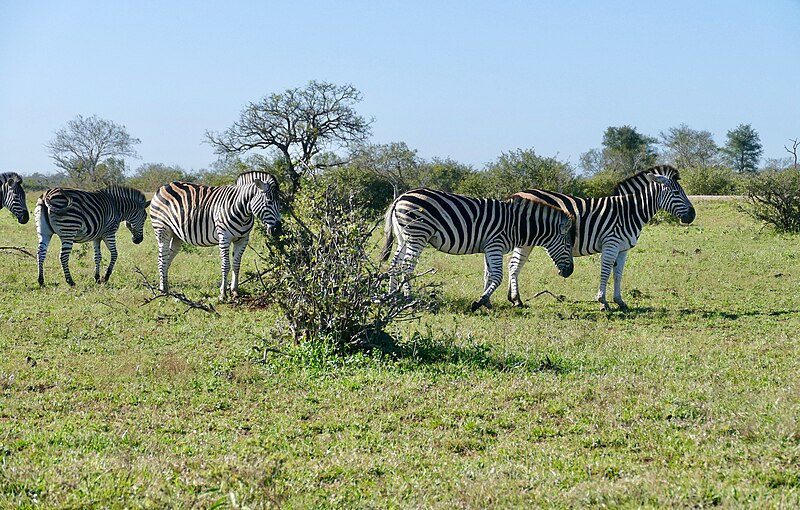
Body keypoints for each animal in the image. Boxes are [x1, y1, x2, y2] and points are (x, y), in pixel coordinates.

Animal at [149, 172, 282, 298]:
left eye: (280, 203)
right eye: (269, 202)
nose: (278, 230)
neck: (242, 211)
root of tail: (164, 186)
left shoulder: (243, 239)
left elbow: (236, 265)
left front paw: (235, 291)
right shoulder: (224, 237)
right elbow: (226, 265)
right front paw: (223, 293)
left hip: (177, 236)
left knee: (167, 259)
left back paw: (166, 288)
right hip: (162, 230)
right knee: (161, 259)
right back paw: (162, 291)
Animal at [382, 188, 576, 310]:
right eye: (568, 245)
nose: (569, 272)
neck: (516, 225)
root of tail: (400, 198)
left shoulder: (489, 247)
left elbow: (488, 274)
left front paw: (487, 303)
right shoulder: (495, 244)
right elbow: (497, 276)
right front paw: (479, 302)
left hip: (403, 237)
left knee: (395, 264)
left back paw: (393, 296)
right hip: (418, 235)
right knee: (407, 267)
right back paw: (409, 299)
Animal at [510, 164, 696, 310]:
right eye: (676, 192)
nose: (692, 215)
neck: (629, 211)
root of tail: (516, 194)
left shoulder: (623, 249)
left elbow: (618, 274)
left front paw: (619, 301)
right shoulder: (611, 244)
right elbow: (605, 272)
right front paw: (603, 302)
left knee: (515, 265)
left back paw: (514, 299)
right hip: (525, 240)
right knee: (514, 265)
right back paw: (516, 300)